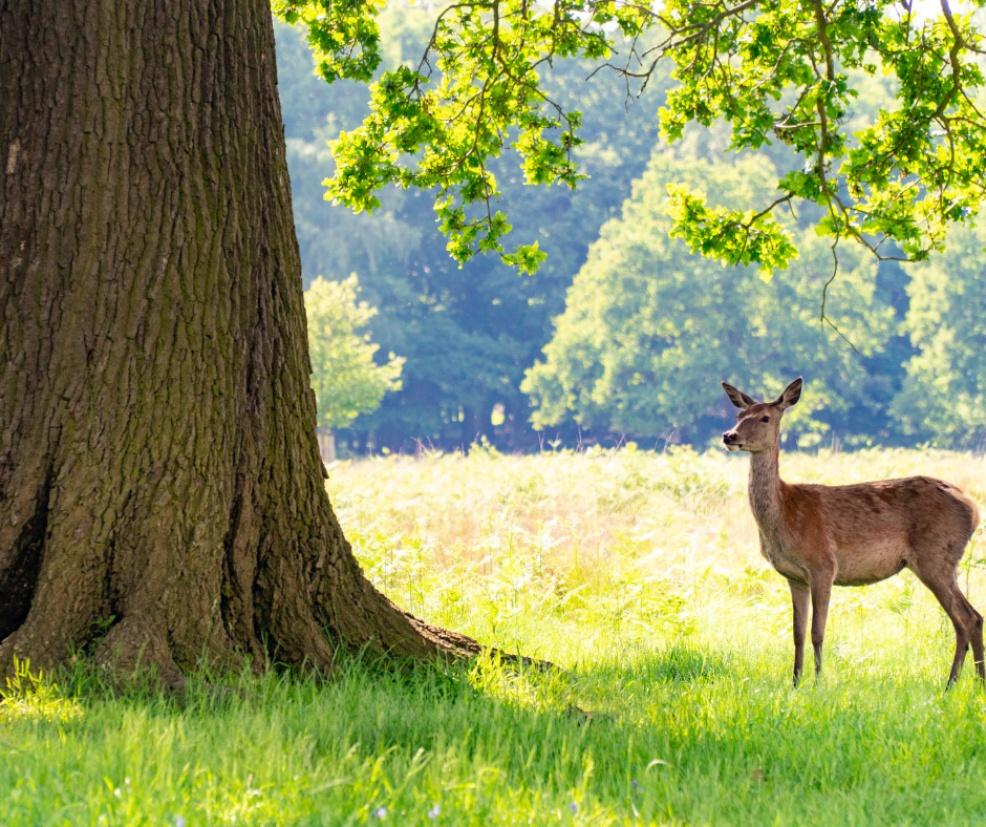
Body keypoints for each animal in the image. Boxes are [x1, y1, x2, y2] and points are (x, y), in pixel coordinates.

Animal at [721, 377, 983, 688]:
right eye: (739, 414)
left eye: (765, 417)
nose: (729, 436)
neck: (786, 513)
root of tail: (974, 509)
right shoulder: (794, 576)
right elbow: (797, 633)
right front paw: (795, 682)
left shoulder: (823, 565)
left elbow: (817, 631)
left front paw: (818, 683)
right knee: (972, 618)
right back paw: (967, 683)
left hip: (936, 556)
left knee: (967, 618)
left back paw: (956, 683)